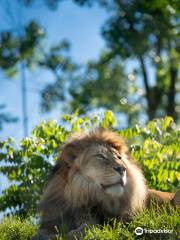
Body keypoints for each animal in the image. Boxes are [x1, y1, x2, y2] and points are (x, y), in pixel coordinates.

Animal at [34, 129, 180, 240]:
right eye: (100, 156)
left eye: (119, 158)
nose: (122, 169)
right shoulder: (51, 219)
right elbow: (43, 233)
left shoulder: (120, 222)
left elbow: (89, 226)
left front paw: (72, 234)